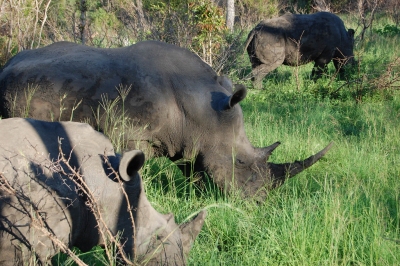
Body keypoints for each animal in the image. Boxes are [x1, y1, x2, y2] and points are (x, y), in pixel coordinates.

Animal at [0, 41, 332, 200]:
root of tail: (8, 63)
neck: (200, 110)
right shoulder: (128, 134)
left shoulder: (192, 143)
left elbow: (196, 171)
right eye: (240, 163)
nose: (259, 203)